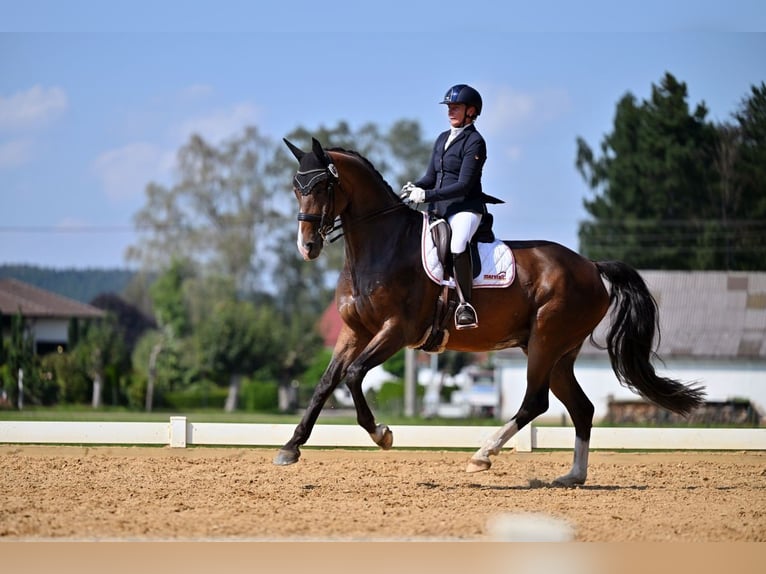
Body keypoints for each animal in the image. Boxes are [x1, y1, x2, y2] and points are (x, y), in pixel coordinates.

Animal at [278, 138, 708, 486]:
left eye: (324, 185)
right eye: (296, 188)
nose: (307, 246)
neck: (380, 246)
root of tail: (590, 266)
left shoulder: (396, 331)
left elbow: (352, 376)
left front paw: (381, 434)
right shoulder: (354, 332)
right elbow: (325, 383)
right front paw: (290, 447)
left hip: (546, 341)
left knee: (536, 402)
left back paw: (484, 454)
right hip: (558, 352)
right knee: (581, 408)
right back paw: (572, 476)